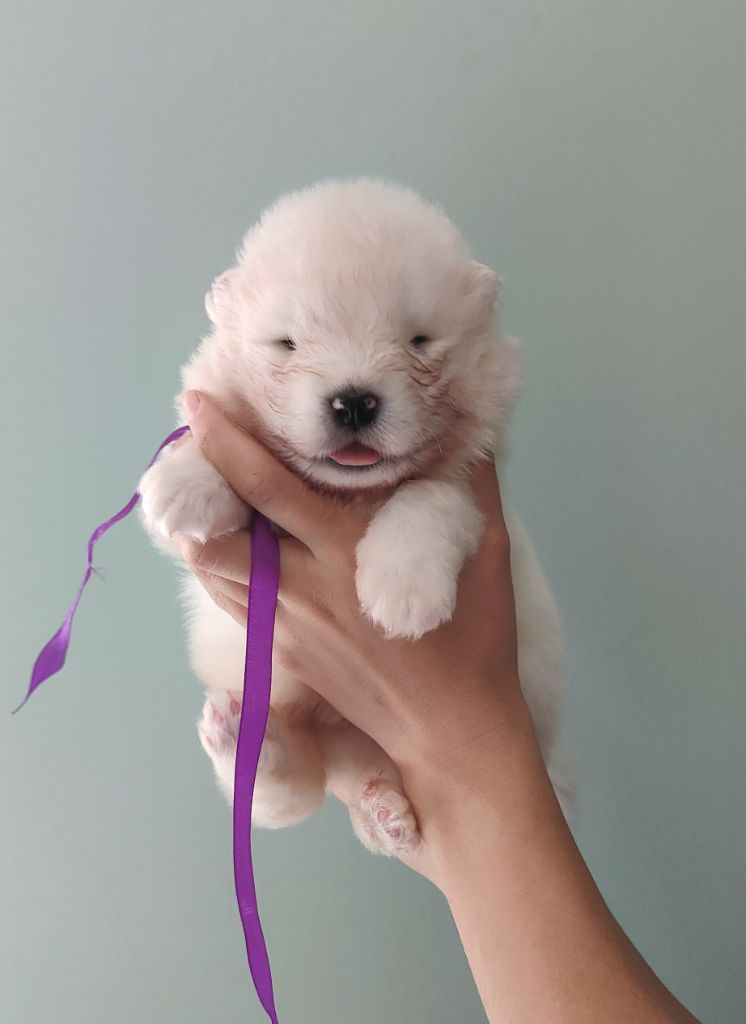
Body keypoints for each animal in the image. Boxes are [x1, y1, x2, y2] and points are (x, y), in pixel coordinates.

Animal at [138, 179, 571, 854]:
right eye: (287, 342)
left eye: (419, 340)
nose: (353, 401)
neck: (348, 495)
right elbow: (212, 449)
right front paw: (183, 486)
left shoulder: (471, 483)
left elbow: (426, 499)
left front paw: (403, 591)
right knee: (282, 792)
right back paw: (246, 744)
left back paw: (384, 816)